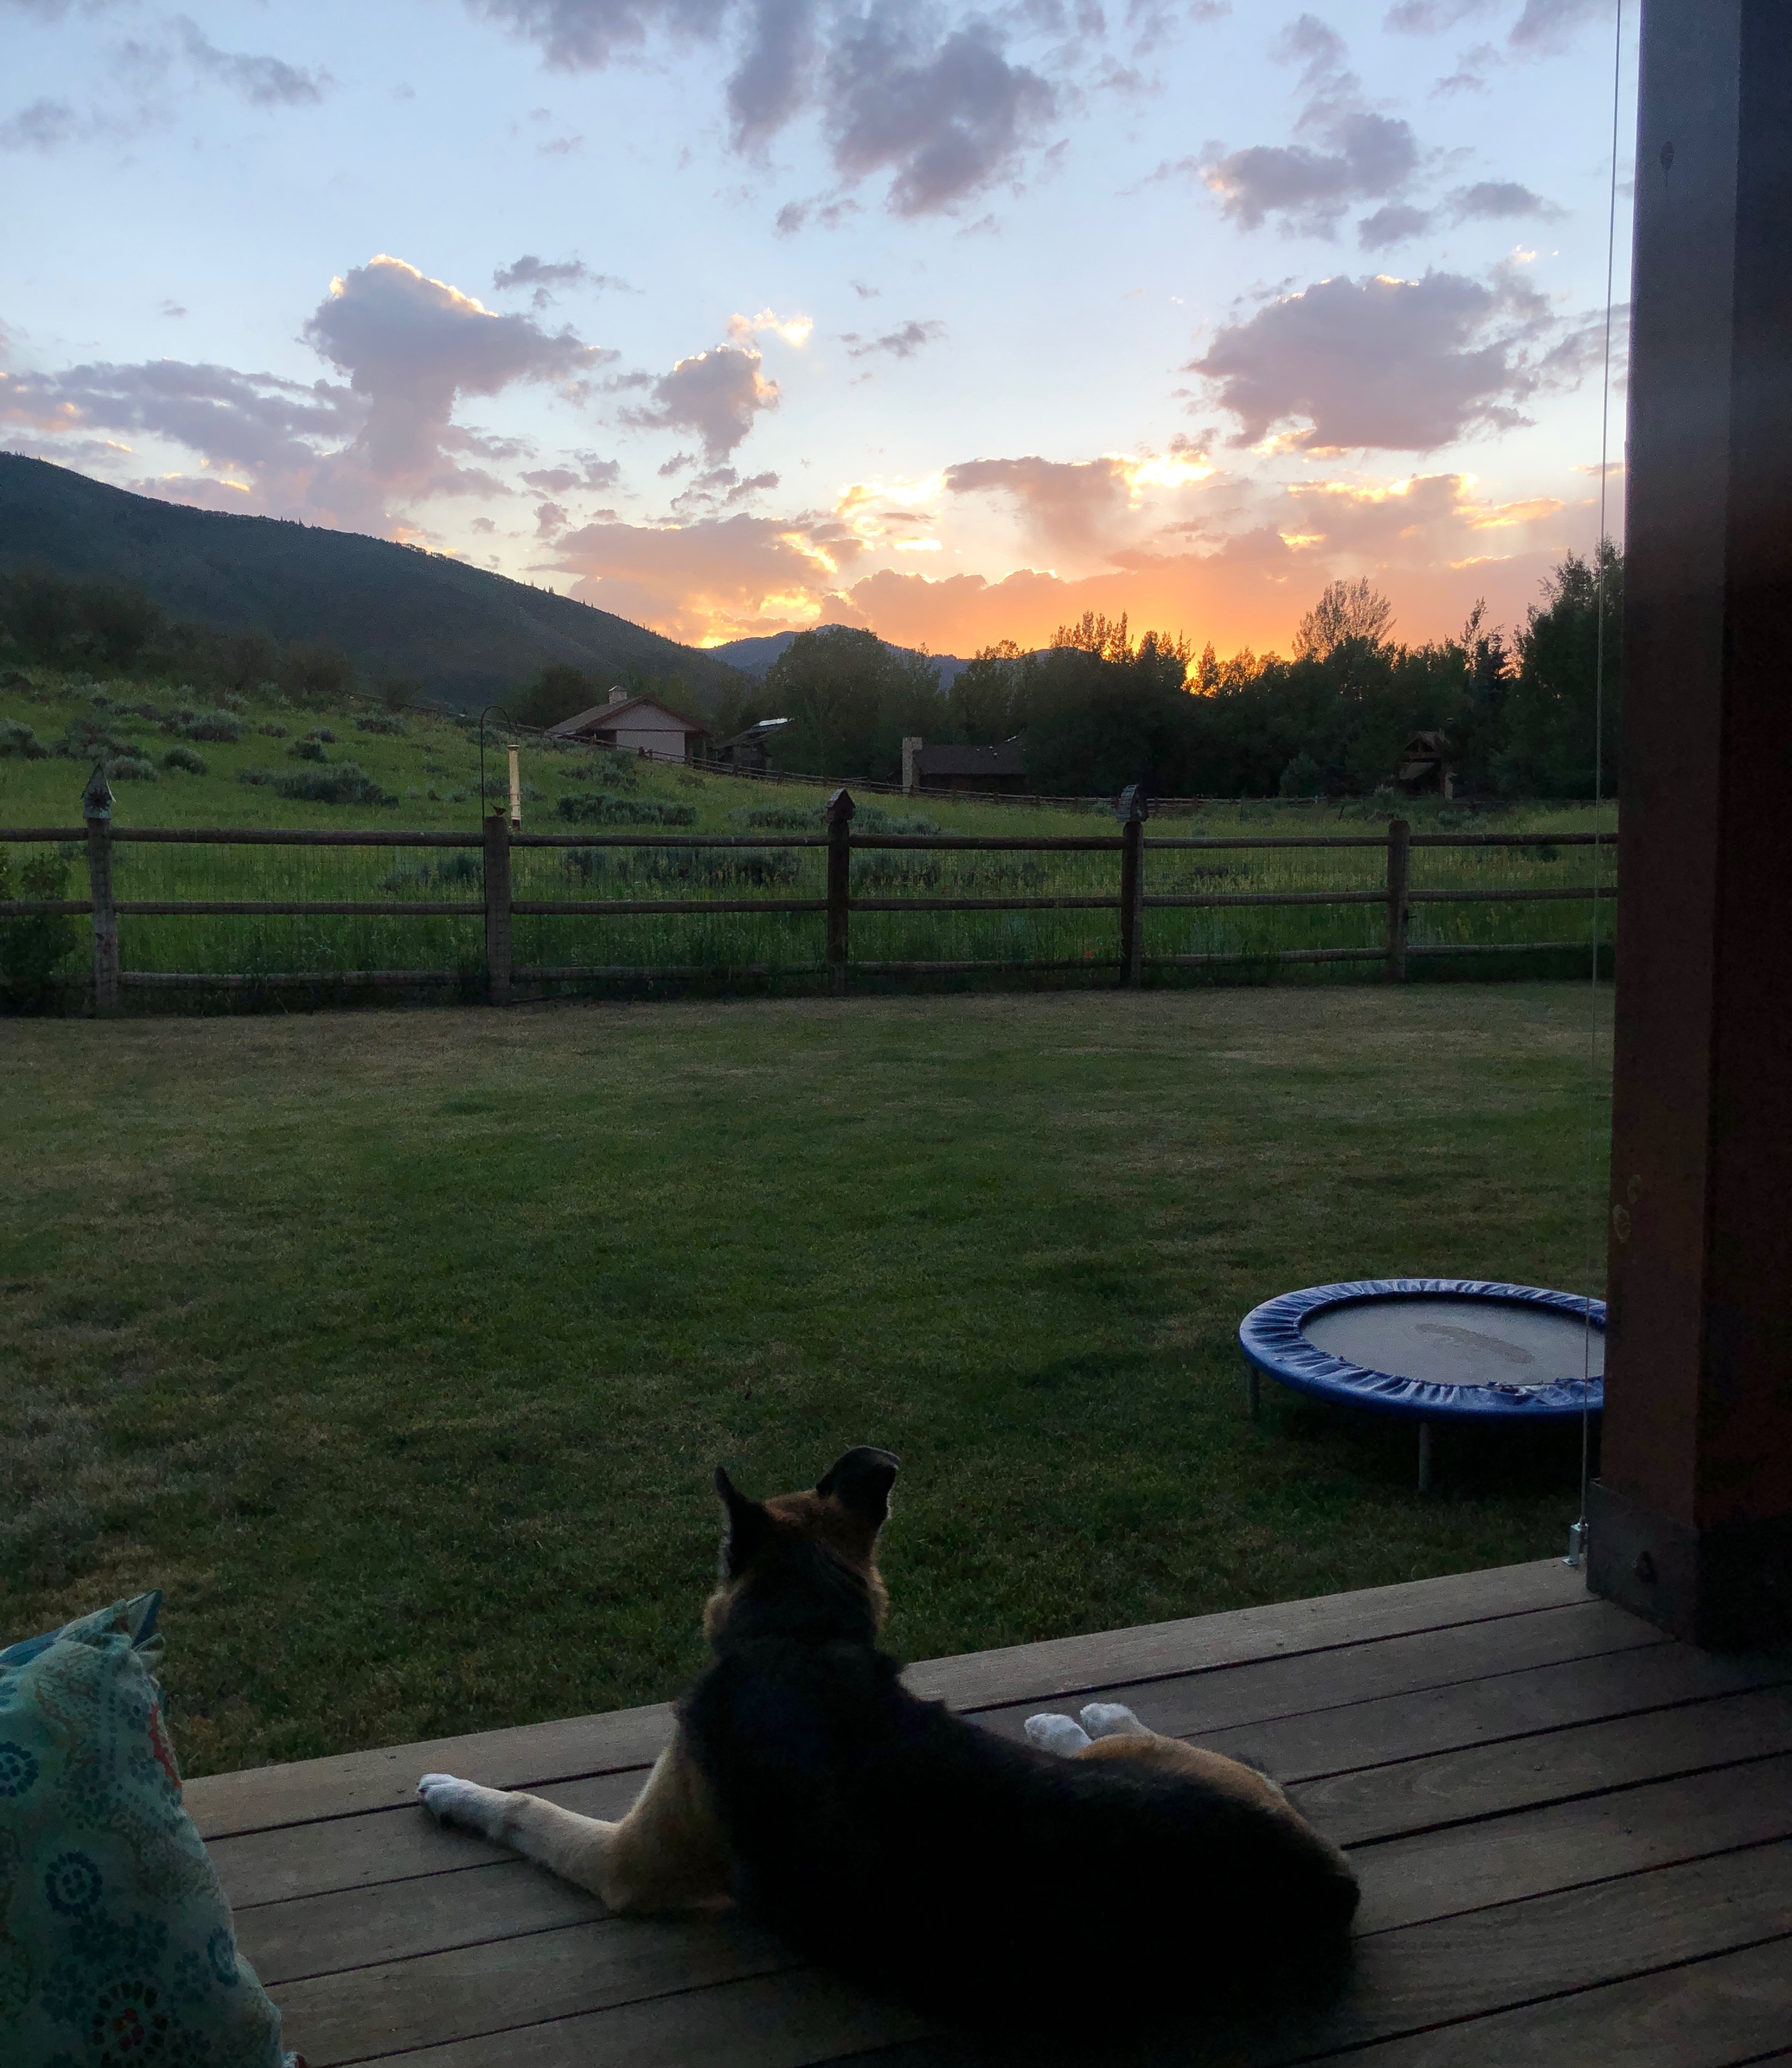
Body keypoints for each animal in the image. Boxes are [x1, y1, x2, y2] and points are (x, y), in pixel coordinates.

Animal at [419, 1446, 1359, 2027]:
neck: (802, 1637)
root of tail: (1328, 1882)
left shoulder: (628, 1861)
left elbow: (526, 1809)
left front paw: (452, 1791)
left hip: (1143, 1762)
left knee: (1126, 1732)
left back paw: (1073, 1716)